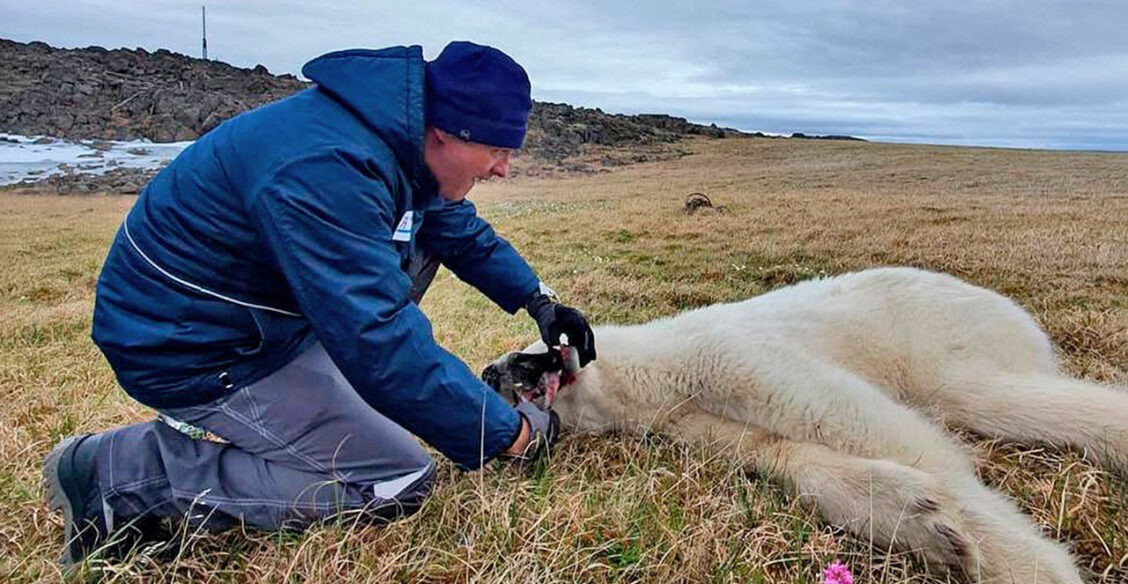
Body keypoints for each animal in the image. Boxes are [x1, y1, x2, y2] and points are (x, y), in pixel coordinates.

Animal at [482, 269, 1128, 584]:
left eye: (525, 352)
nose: (490, 371)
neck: (650, 375)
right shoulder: (691, 419)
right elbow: (780, 452)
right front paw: (924, 524)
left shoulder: (724, 356)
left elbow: (852, 418)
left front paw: (1031, 566)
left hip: (936, 332)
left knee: (986, 393)